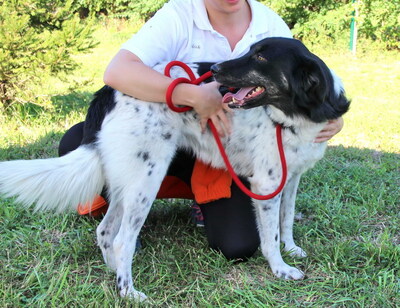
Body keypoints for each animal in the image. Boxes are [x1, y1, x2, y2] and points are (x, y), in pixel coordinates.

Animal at [0, 37, 348, 300]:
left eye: (260, 56)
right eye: (251, 50)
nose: (216, 70)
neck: (293, 114)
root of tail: (106, 92)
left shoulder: (290, 178)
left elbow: (285, 221)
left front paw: (292, 249)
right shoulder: (266, 184)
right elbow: (270, 236)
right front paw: (280, 269)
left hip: (128, 181)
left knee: (105, 231)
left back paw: (114, 271)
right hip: (147, 179)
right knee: (122, 239)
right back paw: (129, 292)